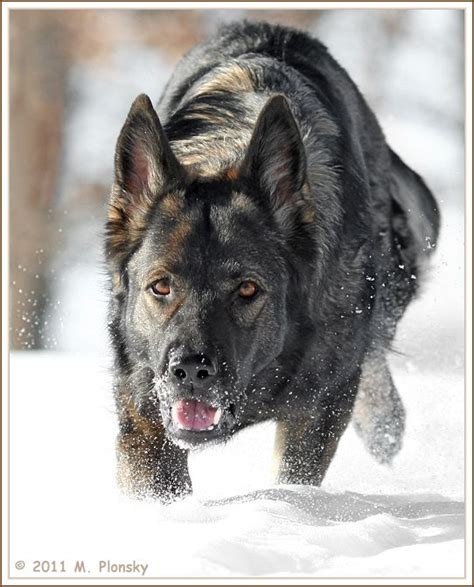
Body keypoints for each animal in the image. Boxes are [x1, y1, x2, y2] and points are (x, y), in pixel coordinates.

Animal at [105, 21, 438, 500]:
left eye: (247, 289)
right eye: (160, 287)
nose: (189, 371)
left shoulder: (321, 404)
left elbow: (293, 478)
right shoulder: (146, 412)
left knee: (374, 353)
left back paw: (383, 421)